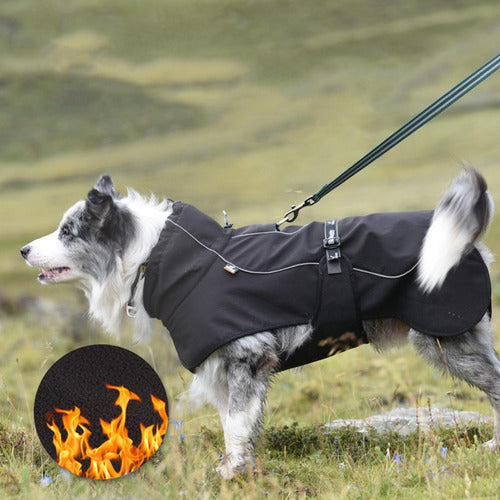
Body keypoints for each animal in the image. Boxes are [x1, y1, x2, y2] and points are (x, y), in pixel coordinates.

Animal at [20, 169, 500, 480]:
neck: (155, 258)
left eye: (67, 232)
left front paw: (233, 475)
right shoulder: (222, 367)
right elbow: (235, 426)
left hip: (449, 340)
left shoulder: (245, 358)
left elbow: (235, 423)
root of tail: (470, 242)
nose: (23, 249)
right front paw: (238, 468)